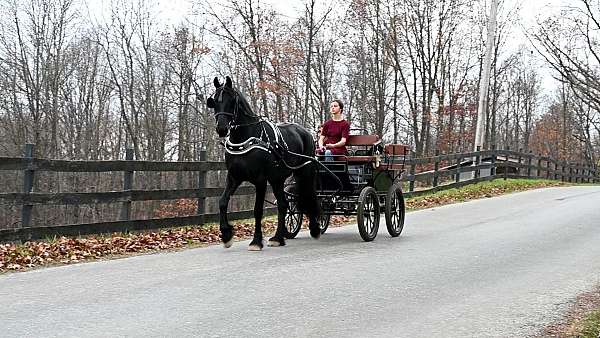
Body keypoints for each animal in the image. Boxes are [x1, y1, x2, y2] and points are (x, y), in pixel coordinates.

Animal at [206, 76, 322, 251]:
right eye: (214, 102)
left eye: (231, 100)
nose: (222, 128)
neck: (246, 138)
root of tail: (306, 132)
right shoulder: (234, 177)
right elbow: (222, 202)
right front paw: (226, 235)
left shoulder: (260, 180)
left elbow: (257, 210)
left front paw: (256, 241)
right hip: (277, 179)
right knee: (283, 204)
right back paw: (278, 238)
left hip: (305, 172)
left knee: (309, 196)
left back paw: (314, 229)